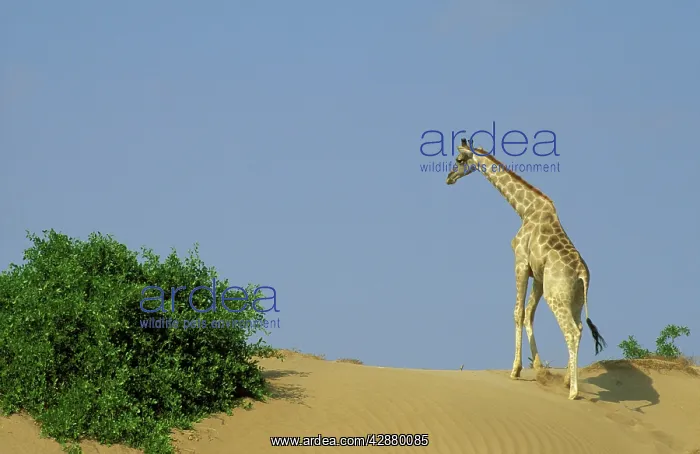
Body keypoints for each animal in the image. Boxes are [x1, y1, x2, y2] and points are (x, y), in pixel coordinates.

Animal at [446, 138, 606, 400]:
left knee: (572, 332)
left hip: (556, 296)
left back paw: (573, 392)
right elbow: (529, 313)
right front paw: (538, 367)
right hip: (575, 300)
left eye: (459, 160)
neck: (525, 209)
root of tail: (583, 274)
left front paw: (515, 370)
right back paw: (566, 381)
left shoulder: (520, 262)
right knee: (581, 327)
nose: (449, 177)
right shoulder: (538, 275)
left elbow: (517, 312)